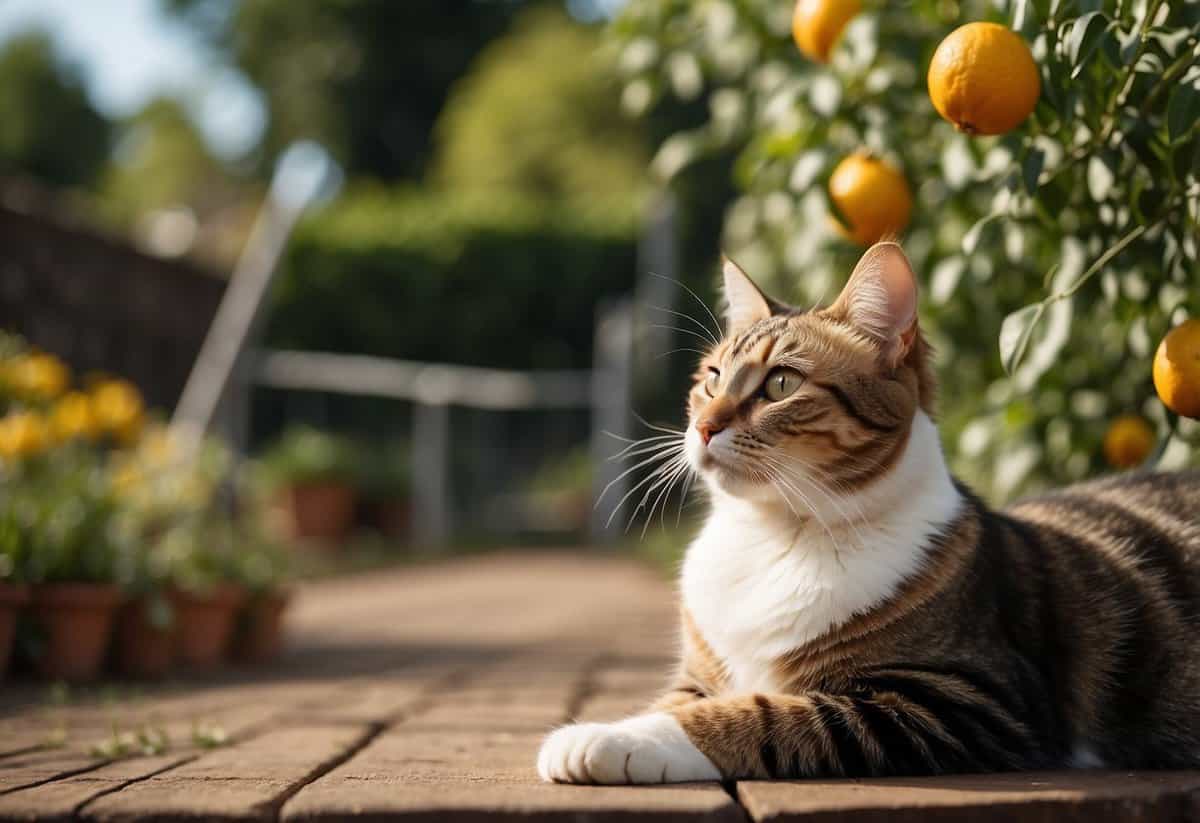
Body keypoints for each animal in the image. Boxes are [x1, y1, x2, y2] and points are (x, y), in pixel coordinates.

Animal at [537, 239, 1200, 787]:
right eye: (712, 377)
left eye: (781, 384)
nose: (703, 427)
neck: (775, 536)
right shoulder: (698, 676)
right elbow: (678, 701)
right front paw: (623, 725)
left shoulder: (963, 699)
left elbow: (760, 713)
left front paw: (603, 738)